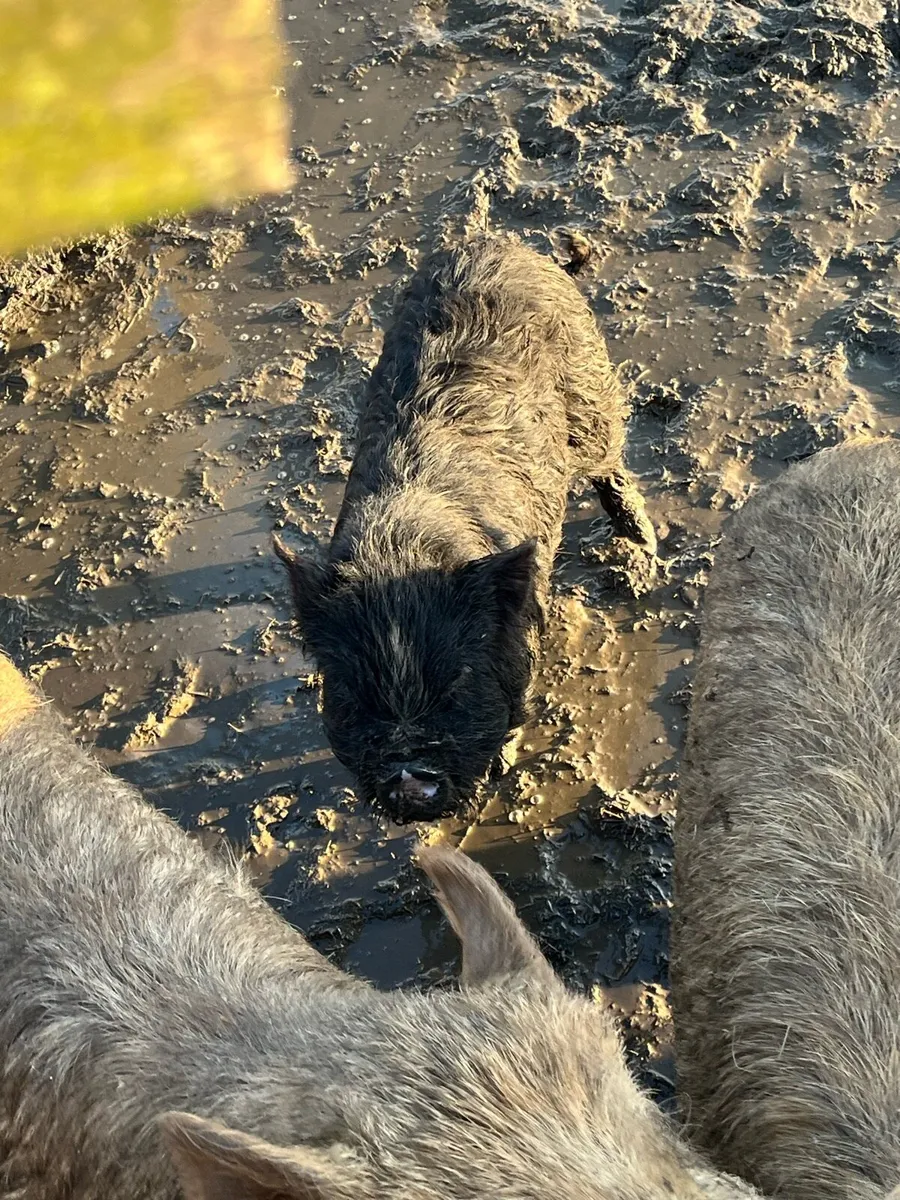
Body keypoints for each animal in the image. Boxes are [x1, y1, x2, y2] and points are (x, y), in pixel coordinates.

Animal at [274, 233, 654, 823]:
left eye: (458, 680)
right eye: (353, 692)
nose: (410, 780)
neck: (401, 552)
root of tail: (504, 244)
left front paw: (504, 761)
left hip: (593, 394)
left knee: (610, 461)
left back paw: (644, 544)